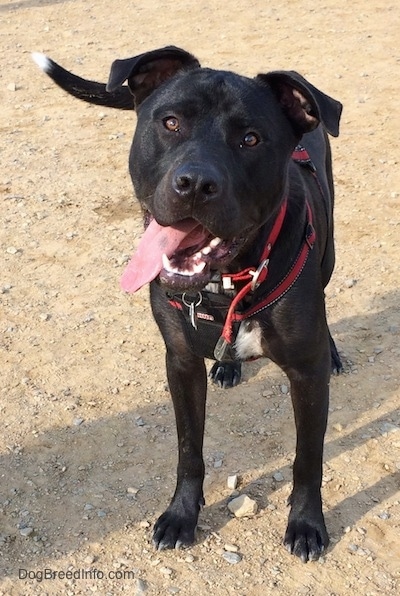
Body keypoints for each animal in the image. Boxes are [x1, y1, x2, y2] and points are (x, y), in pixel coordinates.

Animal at [32, 47, 342, 564]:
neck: (225, 282)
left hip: (331, 251)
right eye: (171, 122)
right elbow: (188, 449)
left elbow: (308, 459)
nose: (195, 183)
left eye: (251, 139)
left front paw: (305, 524)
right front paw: (181, 515)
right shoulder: (179, 362)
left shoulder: (306, 376)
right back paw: (228, 365)